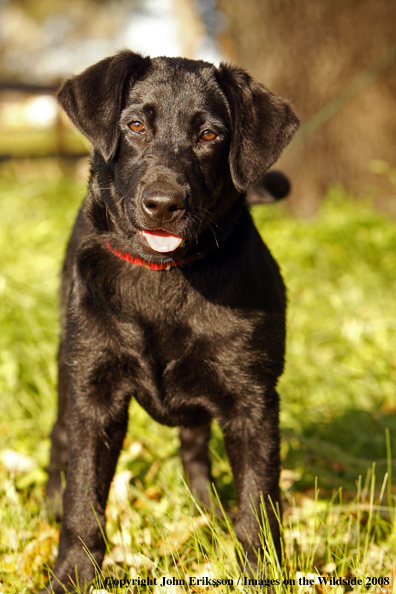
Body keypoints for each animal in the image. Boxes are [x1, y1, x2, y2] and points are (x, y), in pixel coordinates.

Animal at [41, 52, 298, 592]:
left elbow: (259, 504)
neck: (164, 277)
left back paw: (206, 508)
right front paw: (72, 575)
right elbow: (83, 500)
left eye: (210, 135)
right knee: (59, 437)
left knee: (195, 442)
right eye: (135, 125)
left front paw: (260, 573)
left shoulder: (253, 400)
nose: (162, 204)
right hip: (68, 363)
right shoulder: (95, 391)